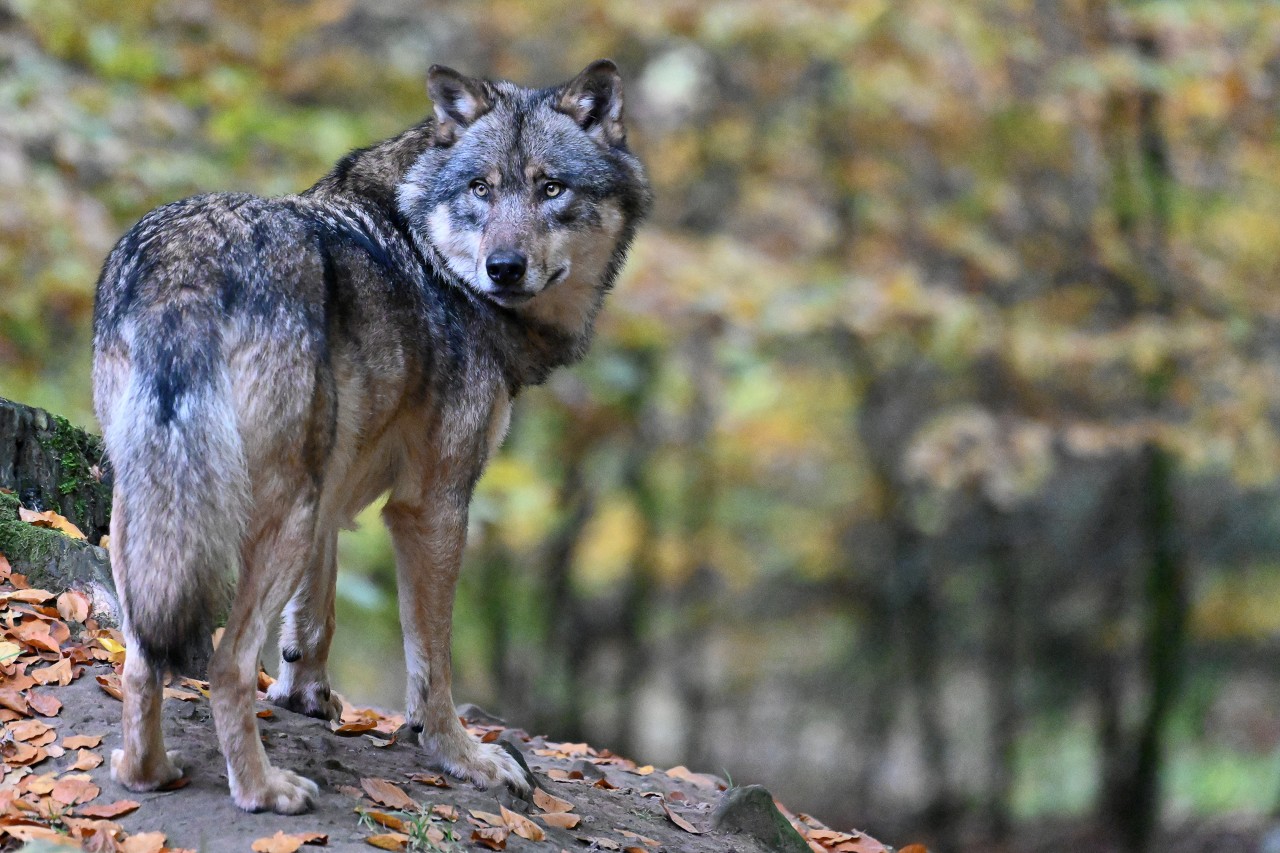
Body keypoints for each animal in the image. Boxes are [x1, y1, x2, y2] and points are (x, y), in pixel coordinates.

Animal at [90, 59, 650, 809]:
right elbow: (433, 662)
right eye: (481, 188)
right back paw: (263, 789)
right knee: (225, 661)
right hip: (279, 511)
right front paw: (462, 756)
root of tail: (188, 266)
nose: (503, 268)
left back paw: (146, 770)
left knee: (142, 656)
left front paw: (305, 695)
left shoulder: (335, 491)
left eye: (550, 188)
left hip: (150, 506)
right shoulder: (431, 505)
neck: (424, 238)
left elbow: (316, 615)